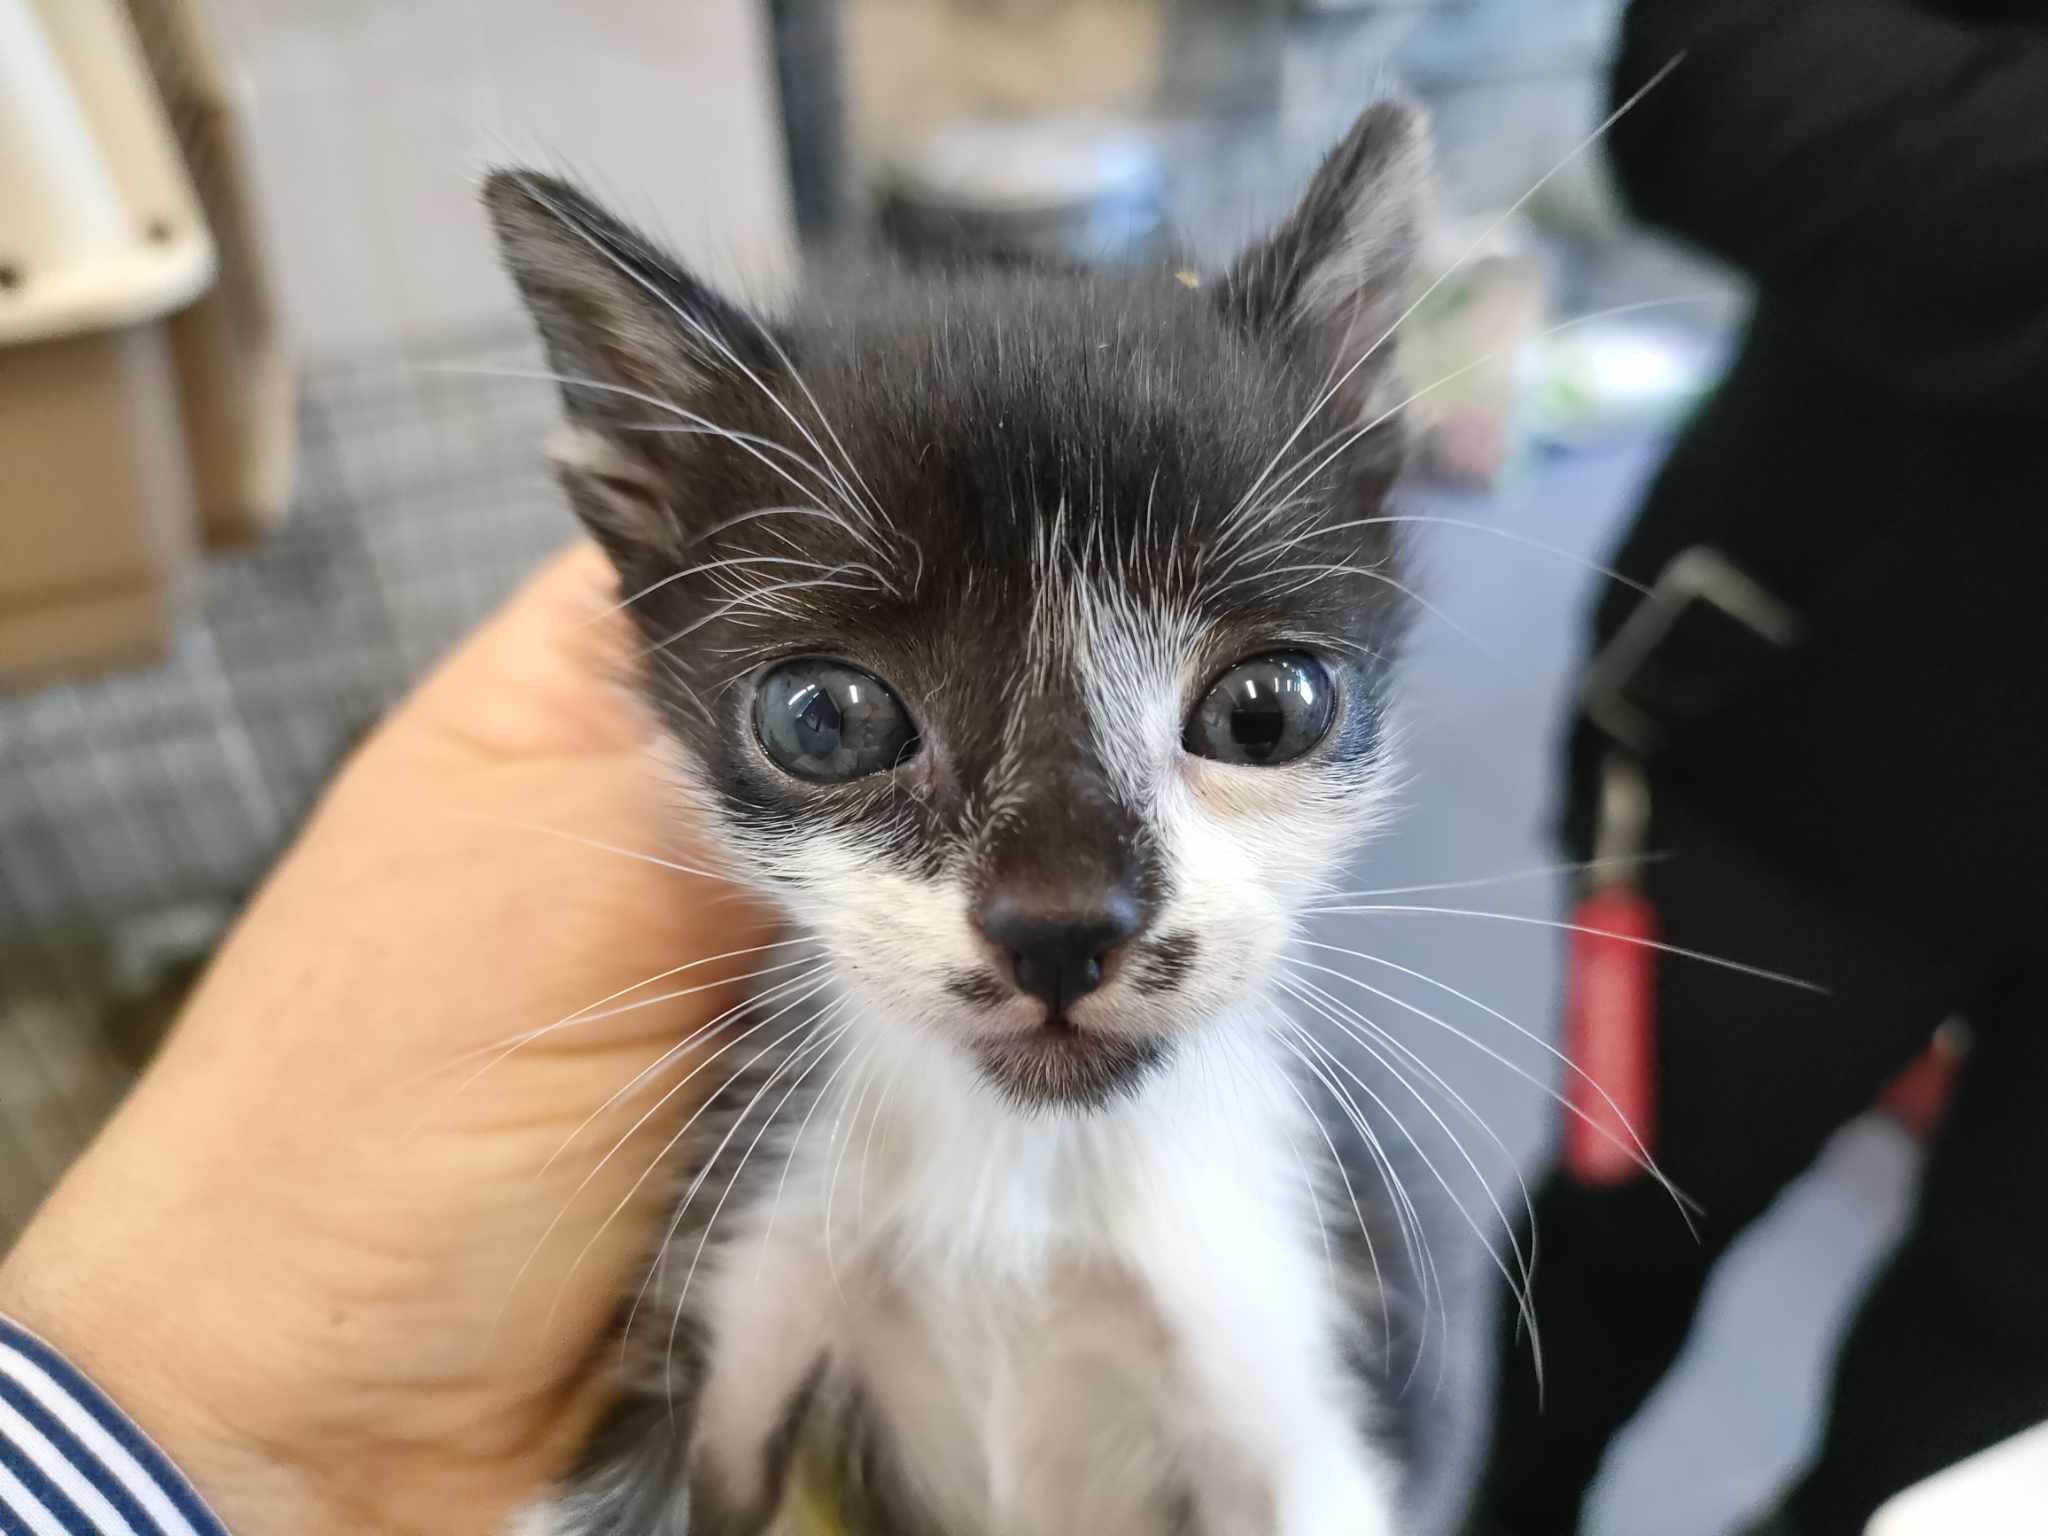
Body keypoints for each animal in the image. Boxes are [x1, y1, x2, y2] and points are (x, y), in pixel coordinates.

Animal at [487, 96, 1431, 1536]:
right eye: (823, 719)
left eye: (1266, 711)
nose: (1059, 923)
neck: (1027, 1173)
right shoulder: (738, 1273)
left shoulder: (1285, 1365)